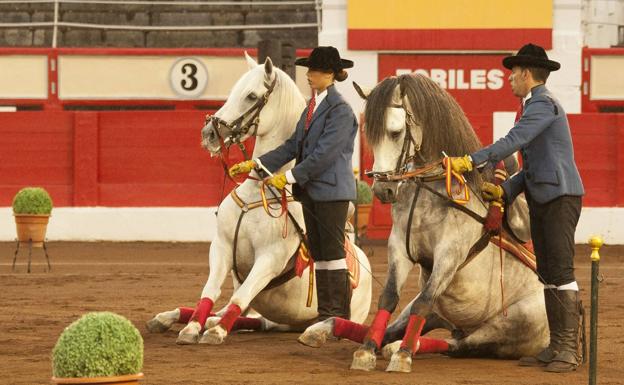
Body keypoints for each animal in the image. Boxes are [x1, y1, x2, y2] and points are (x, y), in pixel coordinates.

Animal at [146, 52, 370, 344]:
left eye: (251, 96)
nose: (209, 134)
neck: (258, 192)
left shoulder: (269, 260)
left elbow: (240, 296)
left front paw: (215, 332)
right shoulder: (221, 246)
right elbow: (209, 292)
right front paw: (193, 327)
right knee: (237, 315)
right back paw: (168, 318)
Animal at [298, 73, 544, 370]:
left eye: (395, 132)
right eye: (369, 135)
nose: (383, 190)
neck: (432, 193)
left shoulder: (448, 257)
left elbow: (424, 302)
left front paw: (402, 356)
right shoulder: (399, 249)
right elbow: (388, 298)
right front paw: (366, 351)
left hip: (511, 324)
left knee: (458, 345)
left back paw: (401, 348)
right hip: (445, 316)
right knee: (406, 328)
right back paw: (328, 330)